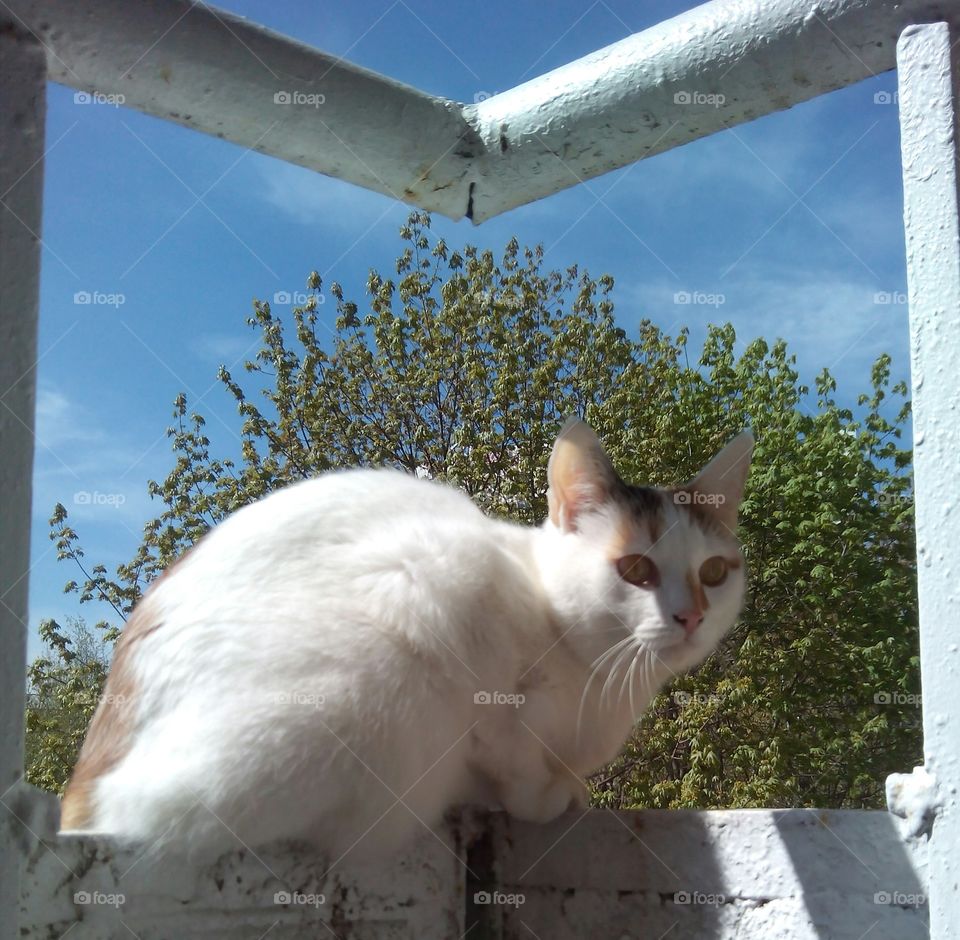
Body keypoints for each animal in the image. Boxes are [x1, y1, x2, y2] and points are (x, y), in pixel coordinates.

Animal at [60, 420, 752, 868]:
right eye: (635, 569)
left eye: (714, 573)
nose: (690, 616)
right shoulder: (481, 665)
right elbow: (514, 762)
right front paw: (545, 798)